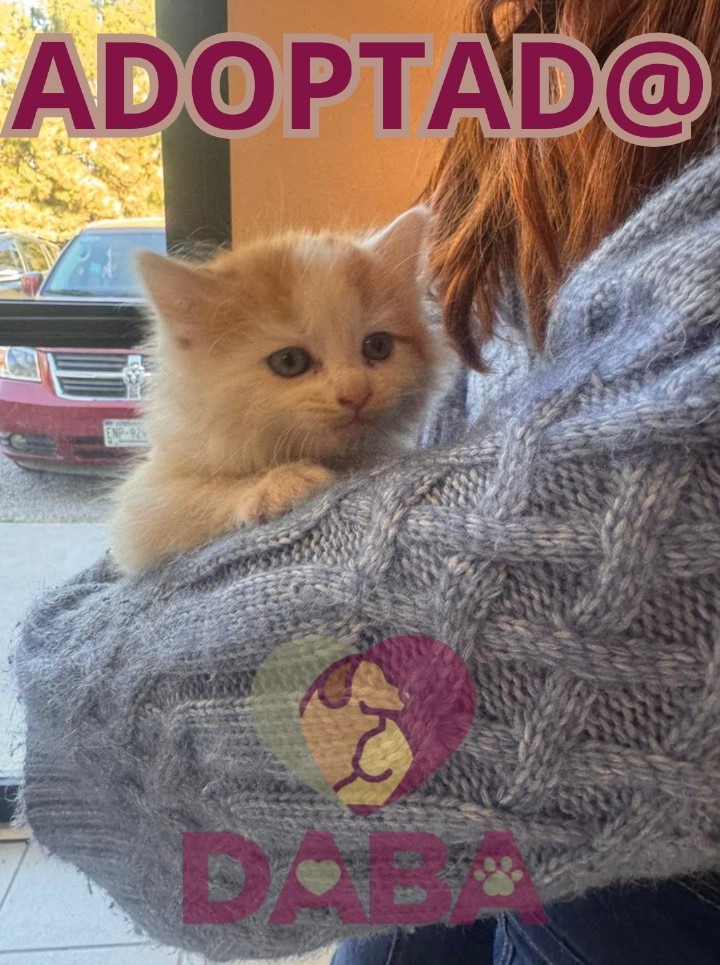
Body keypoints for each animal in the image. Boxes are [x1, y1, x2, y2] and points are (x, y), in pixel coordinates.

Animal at [110, 206, 454, 574]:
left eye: (378, 347)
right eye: (289, 361)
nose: (356, 393)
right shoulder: (140, 508)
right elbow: (183, 501)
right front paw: (276, 483)